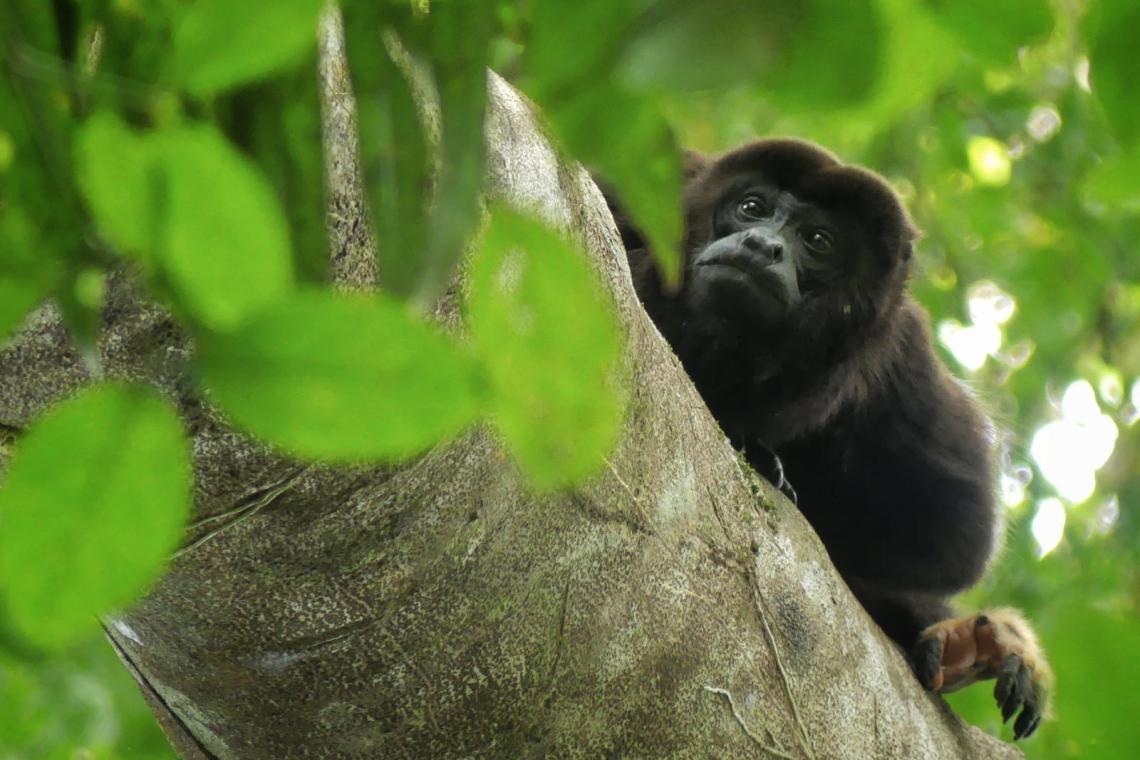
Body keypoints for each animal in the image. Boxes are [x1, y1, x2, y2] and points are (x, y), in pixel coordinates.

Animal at [600, 138, 1052, 739]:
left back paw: (973, 648)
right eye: (751, 208)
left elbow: (958, 533)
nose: (762, 245)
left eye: (818, 240)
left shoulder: (901, 357)